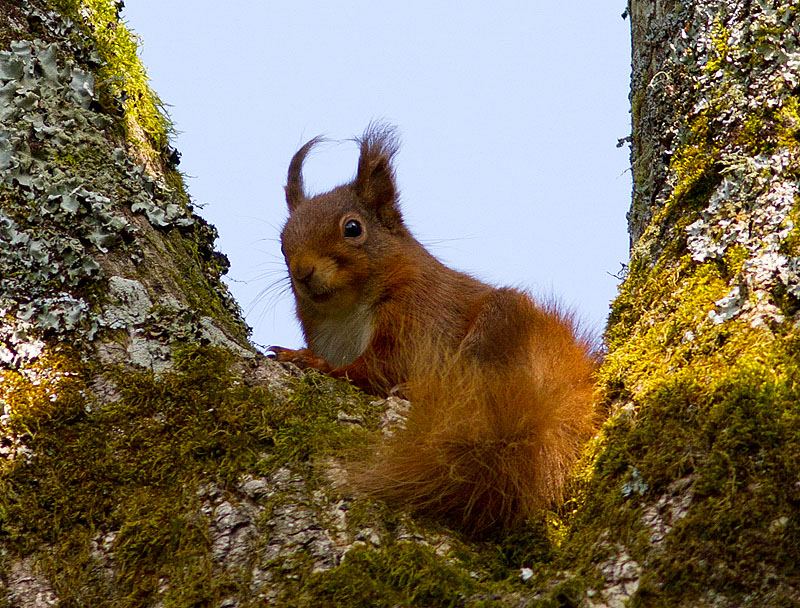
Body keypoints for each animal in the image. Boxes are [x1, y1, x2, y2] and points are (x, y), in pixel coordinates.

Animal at [272, 123, 596, 532]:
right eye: (282, 242)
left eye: (352, 228)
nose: (303, 272)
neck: (346, 312)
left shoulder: (416, 321)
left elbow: (374, 370)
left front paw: (310, 362)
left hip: (499, 330)